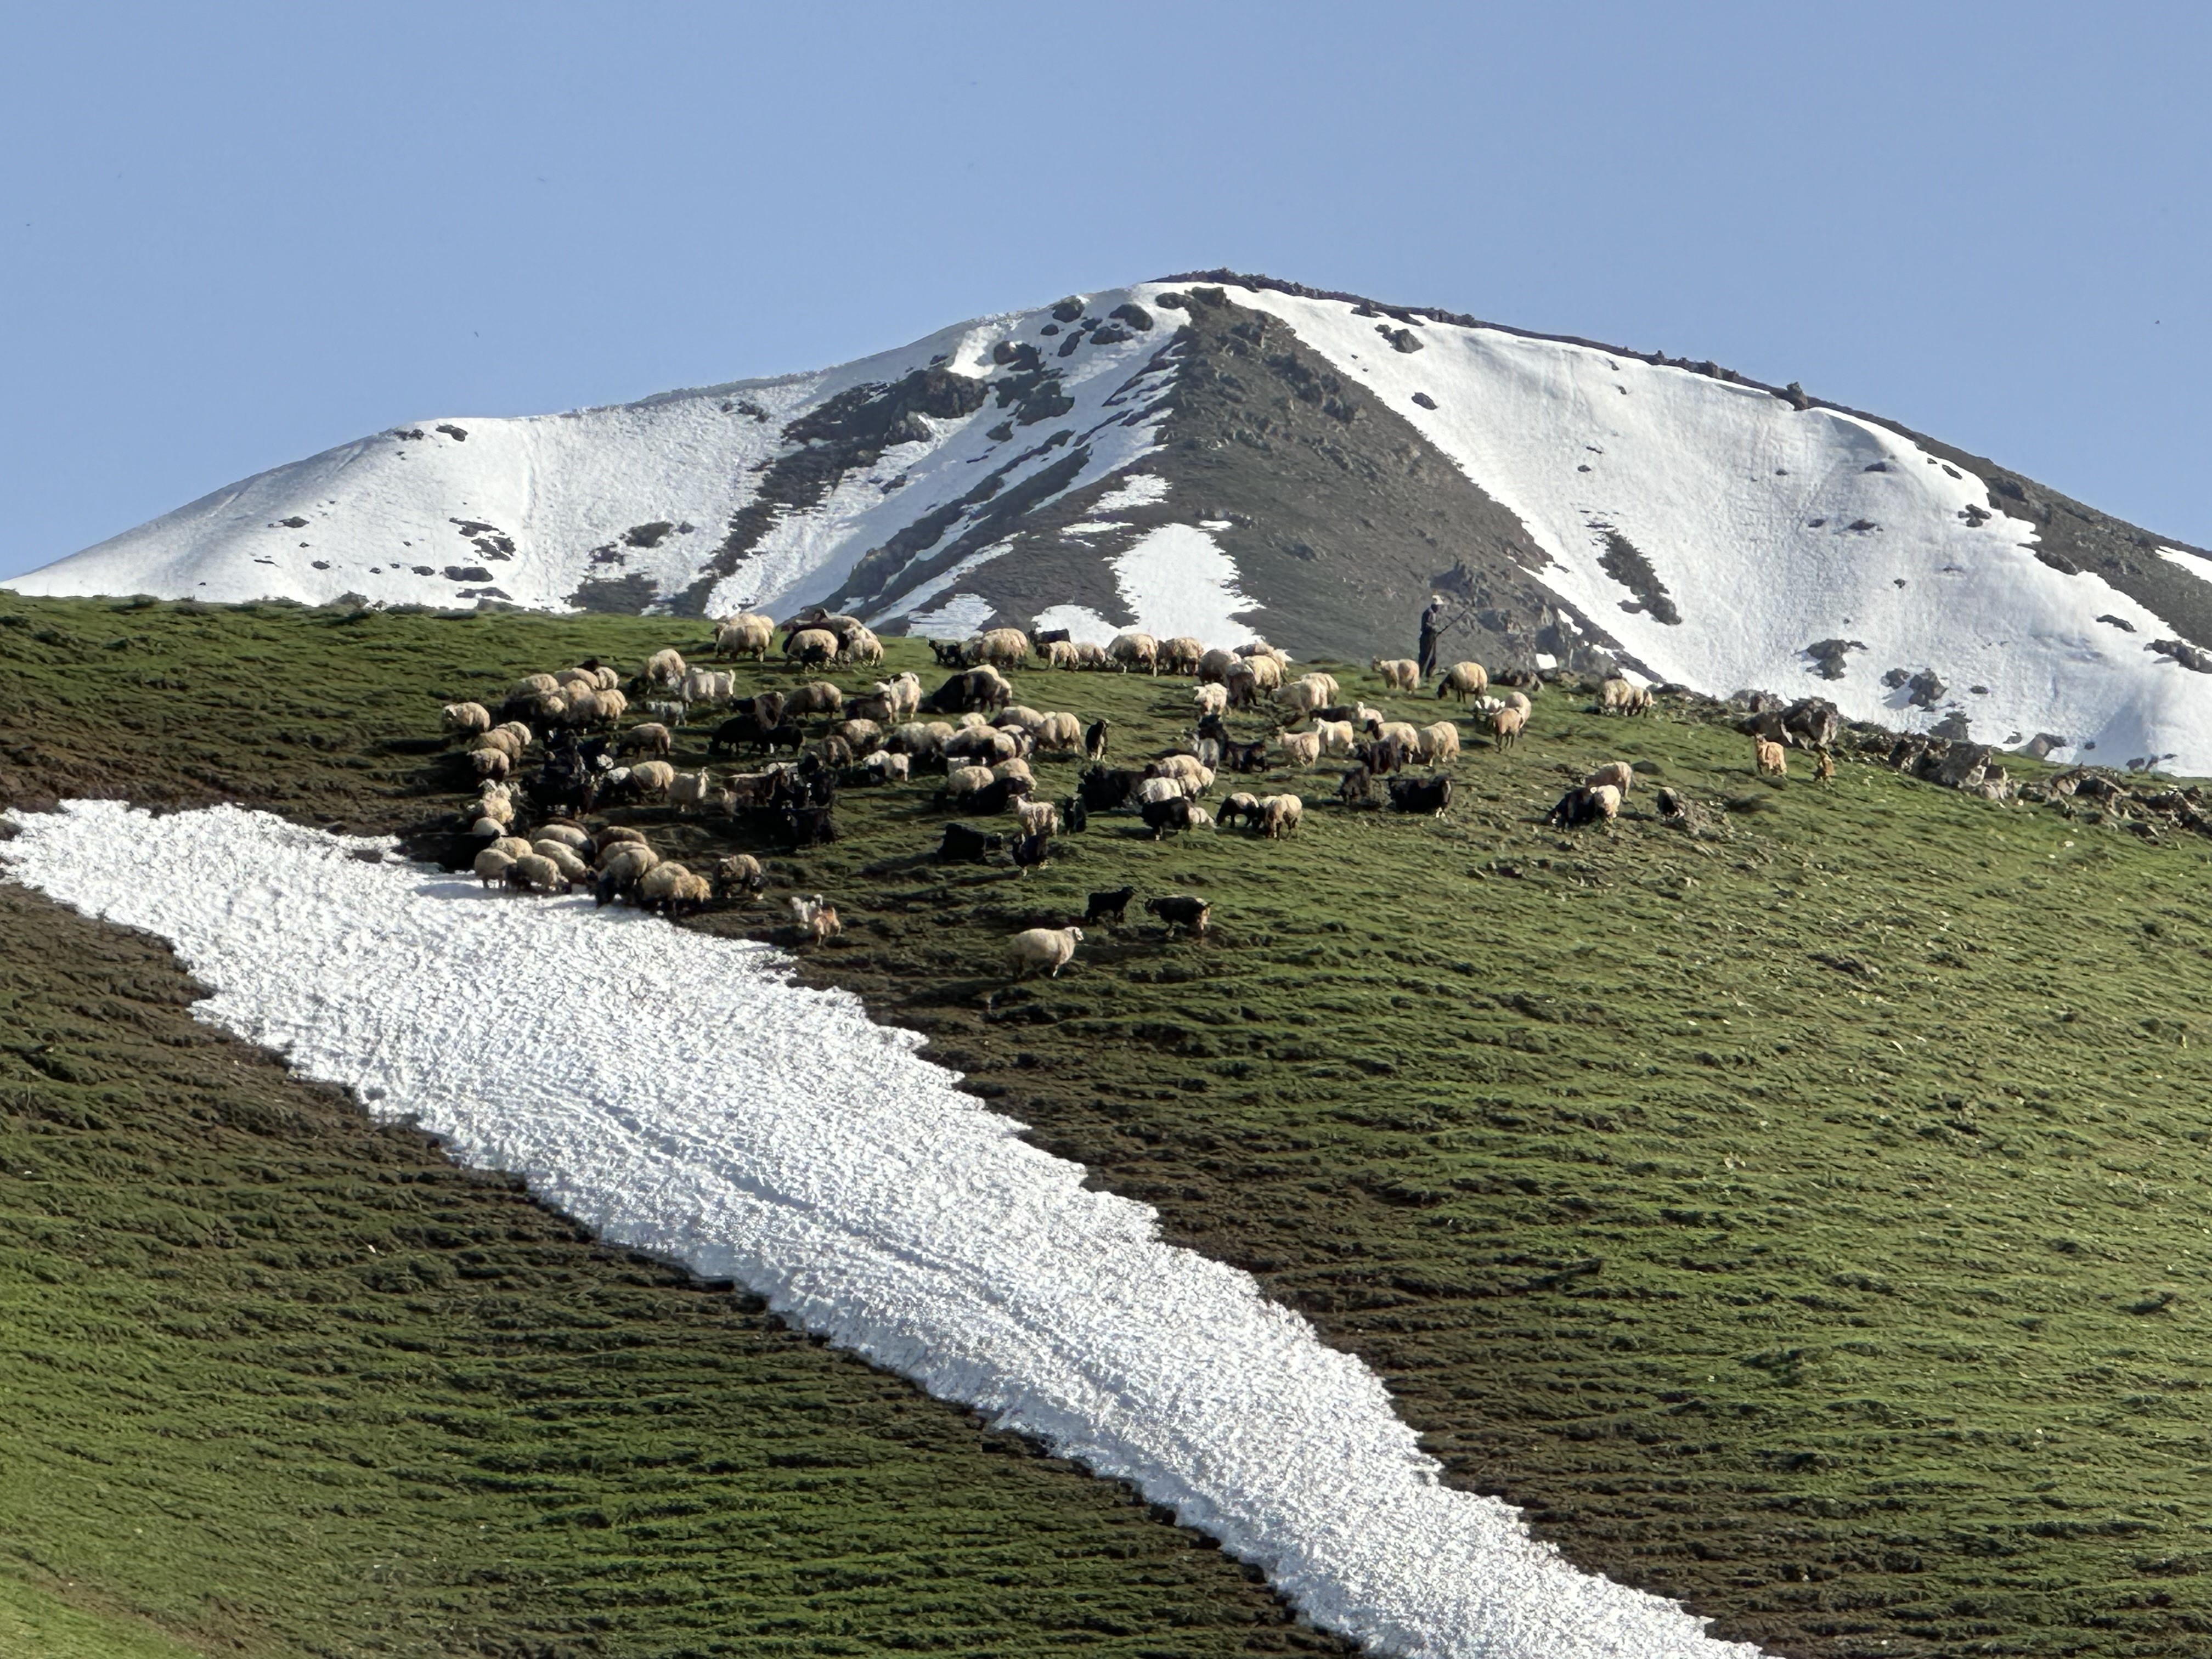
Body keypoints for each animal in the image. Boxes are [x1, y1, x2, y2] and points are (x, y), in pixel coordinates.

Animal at [1008, 929, 1084, 982]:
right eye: (1079, 931)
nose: (1083, 938)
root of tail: (1015, 940)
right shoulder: (1059, 958)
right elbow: (1055, 968)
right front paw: (1054, 977)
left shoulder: (1054, 960)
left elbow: (1053, 967)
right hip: (1026, 956)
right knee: (1024, 967)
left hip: (1019, 957)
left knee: (1018, 967)